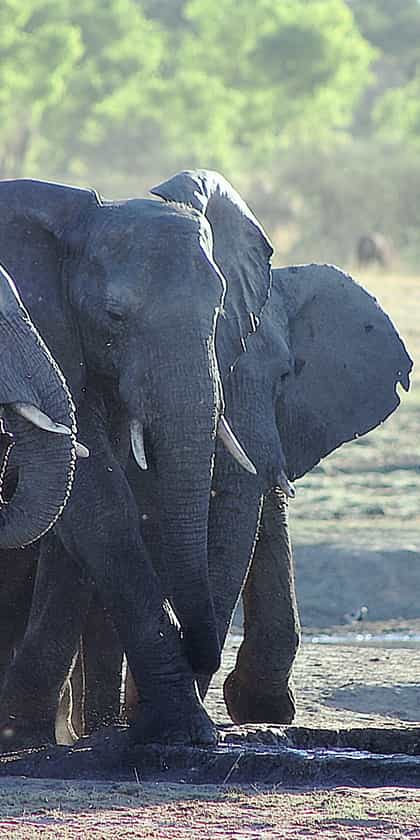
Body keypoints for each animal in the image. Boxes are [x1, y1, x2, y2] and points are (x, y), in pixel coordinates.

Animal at [0, 173, 275, 749]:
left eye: (219, 311)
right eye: (115, 315)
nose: (201, 653)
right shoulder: (52, 330)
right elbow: (99, 503)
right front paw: (186, 731)